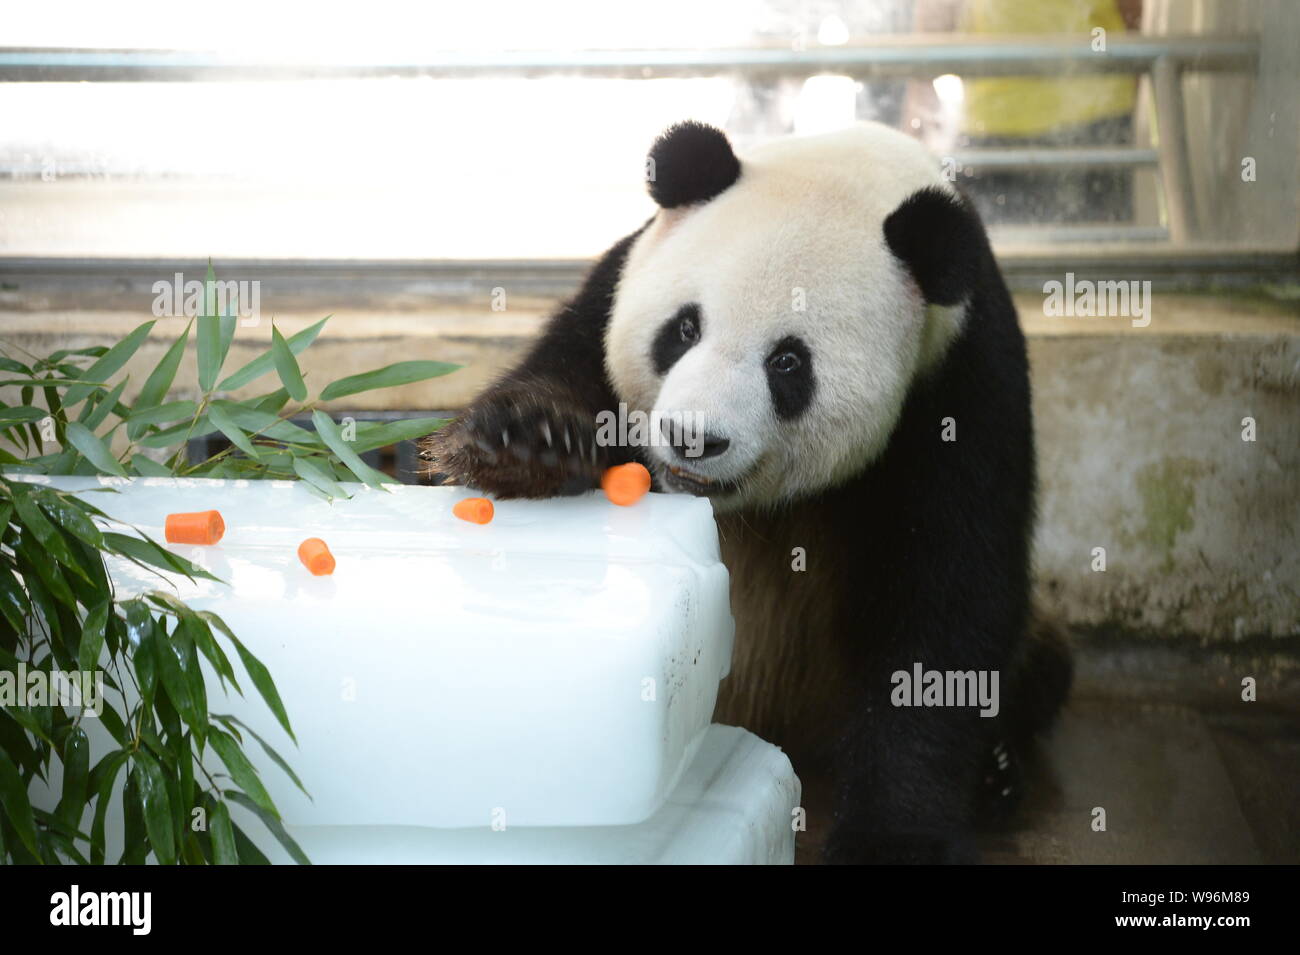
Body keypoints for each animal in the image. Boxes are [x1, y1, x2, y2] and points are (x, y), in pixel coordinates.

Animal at [424, 120, 1071, 864]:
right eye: (684, 329)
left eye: (788, 363)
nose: (691, 437)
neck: (860, 168)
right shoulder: (617, 282)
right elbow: (566, 366)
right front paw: (530, 441)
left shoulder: (962, 379)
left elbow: (945, 608)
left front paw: (891, 839)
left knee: (1044, 665)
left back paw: (997, 773)